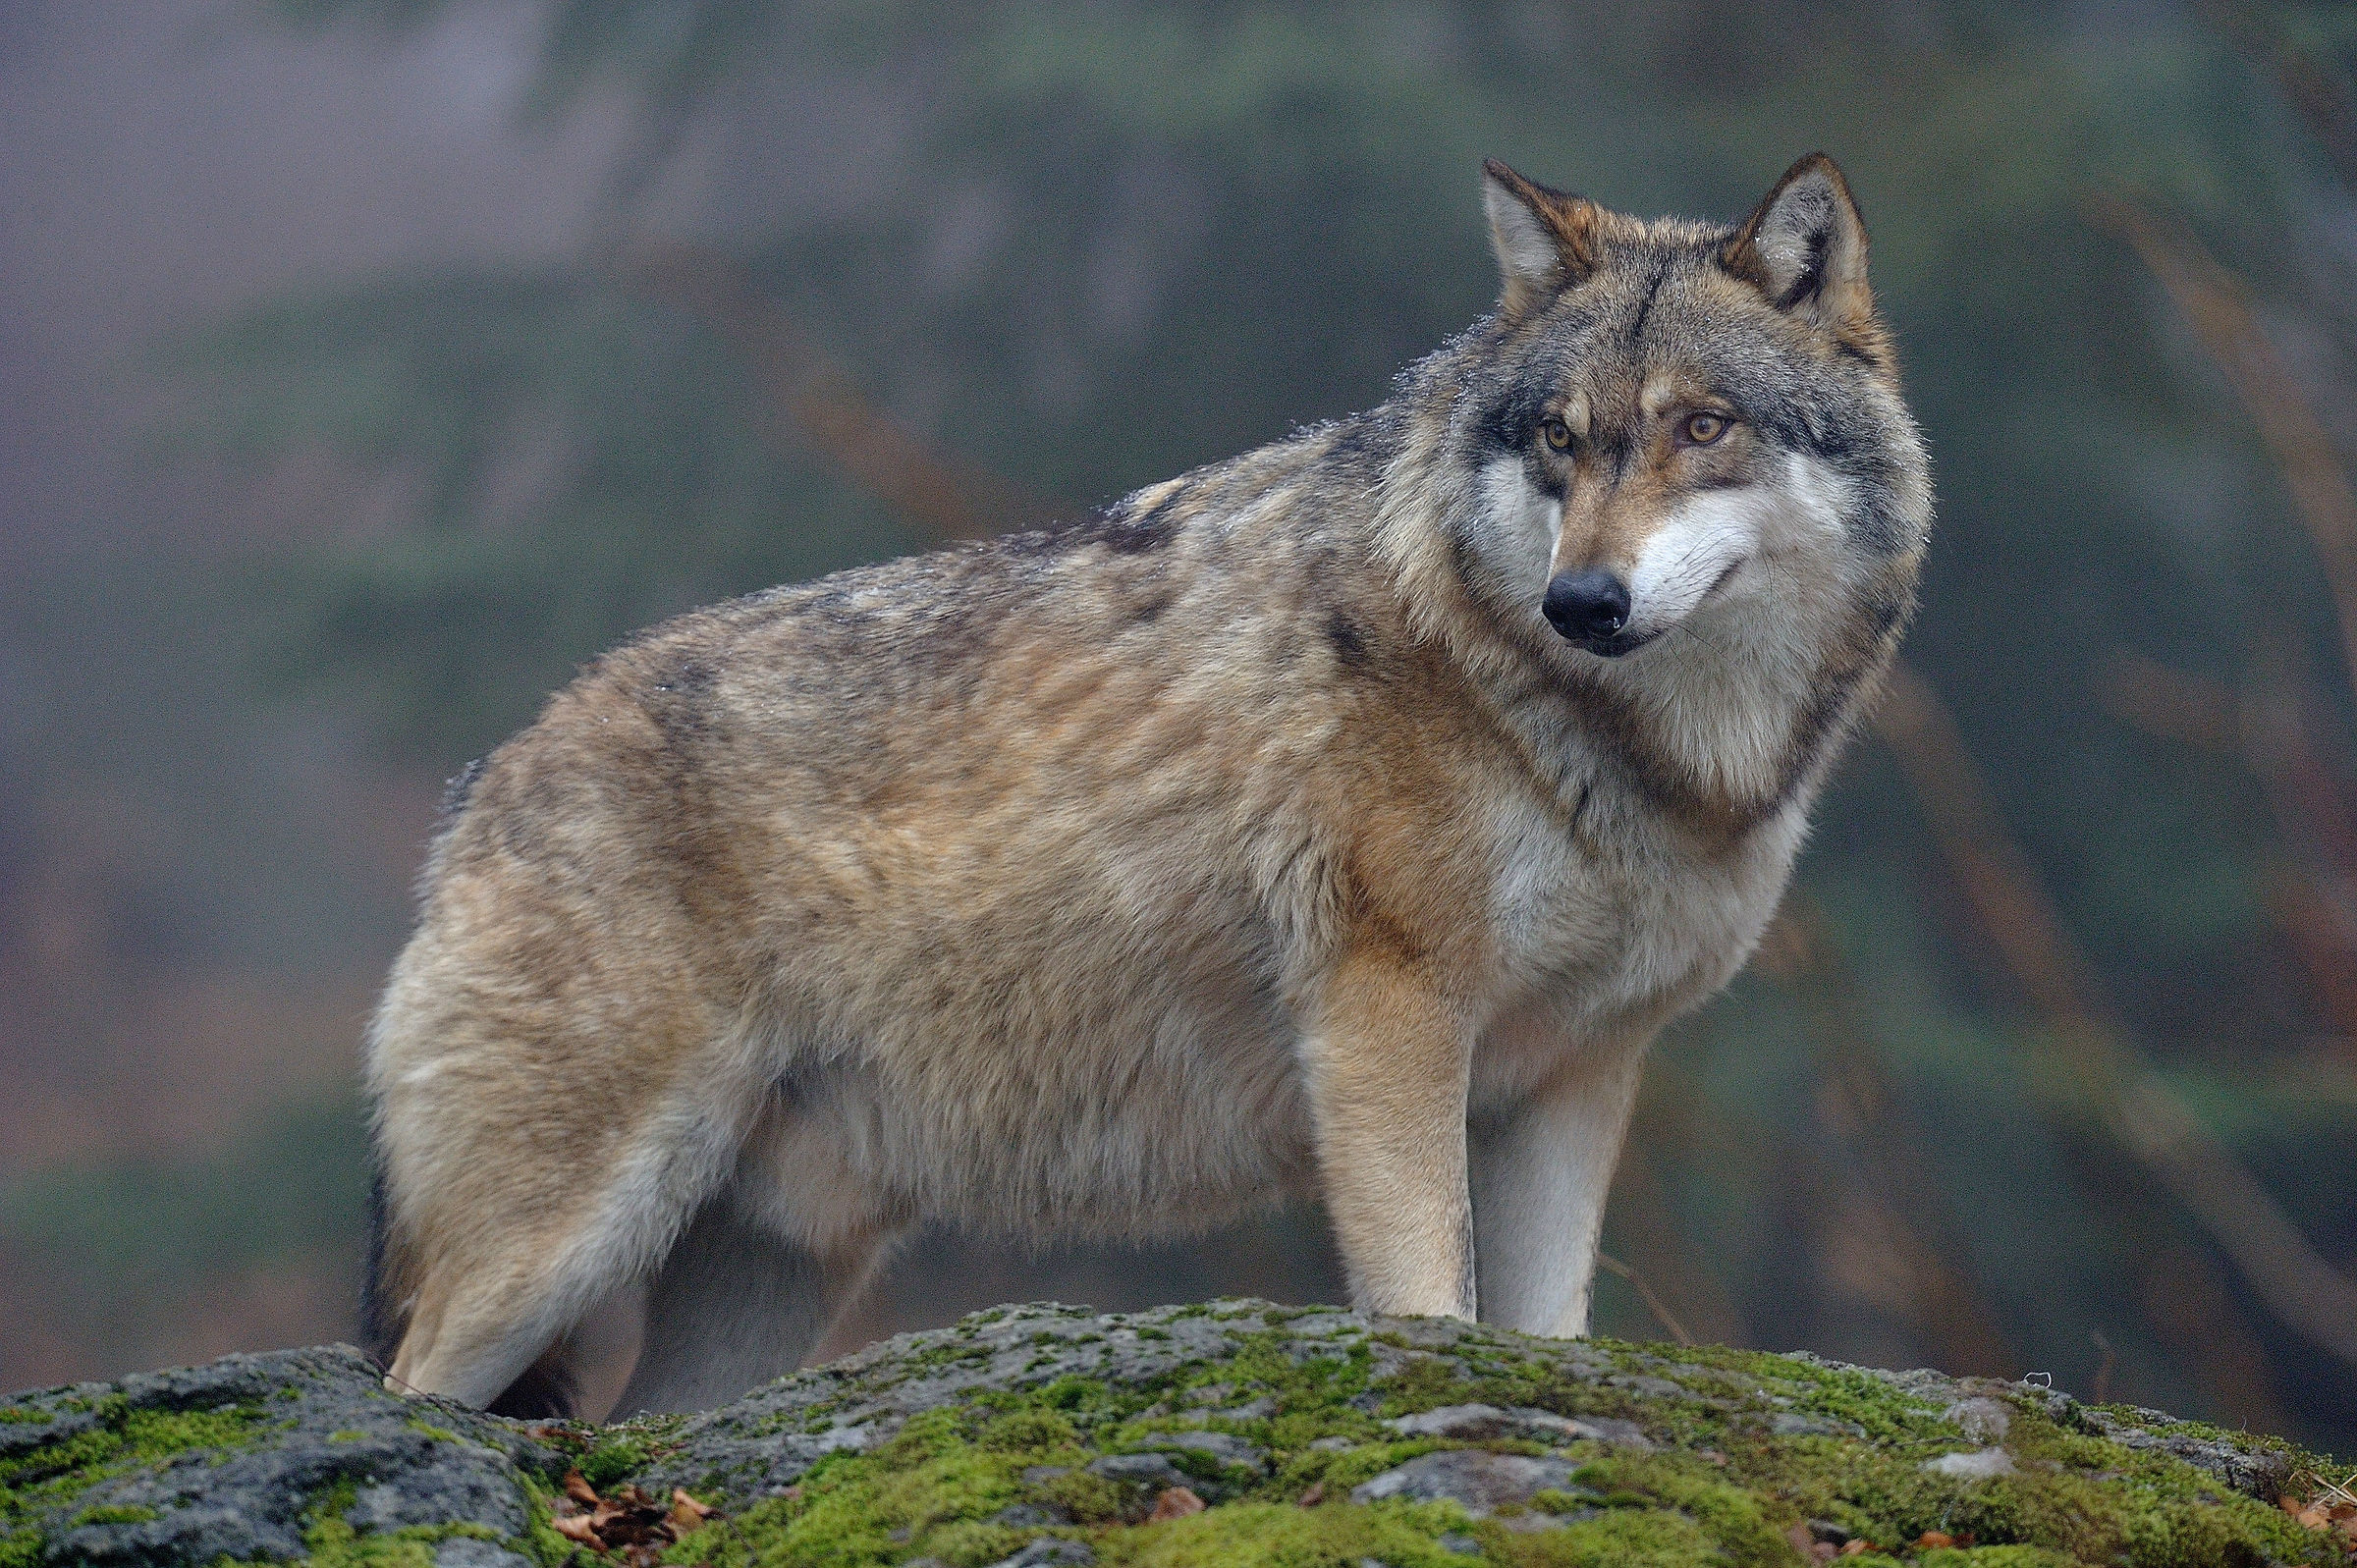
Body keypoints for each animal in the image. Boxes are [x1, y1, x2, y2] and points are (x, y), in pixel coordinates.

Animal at [363, 152, 1930, 1417]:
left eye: (1703, 427)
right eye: (1562, 437)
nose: (1583, 601)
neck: (1612, 741)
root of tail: (482, 780)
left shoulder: (1575, 1075)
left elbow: (1547, 1334)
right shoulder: (1387, 1016)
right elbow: (1429, 1299)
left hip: (764, 1275)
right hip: (552, 1249)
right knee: (414, 1383)